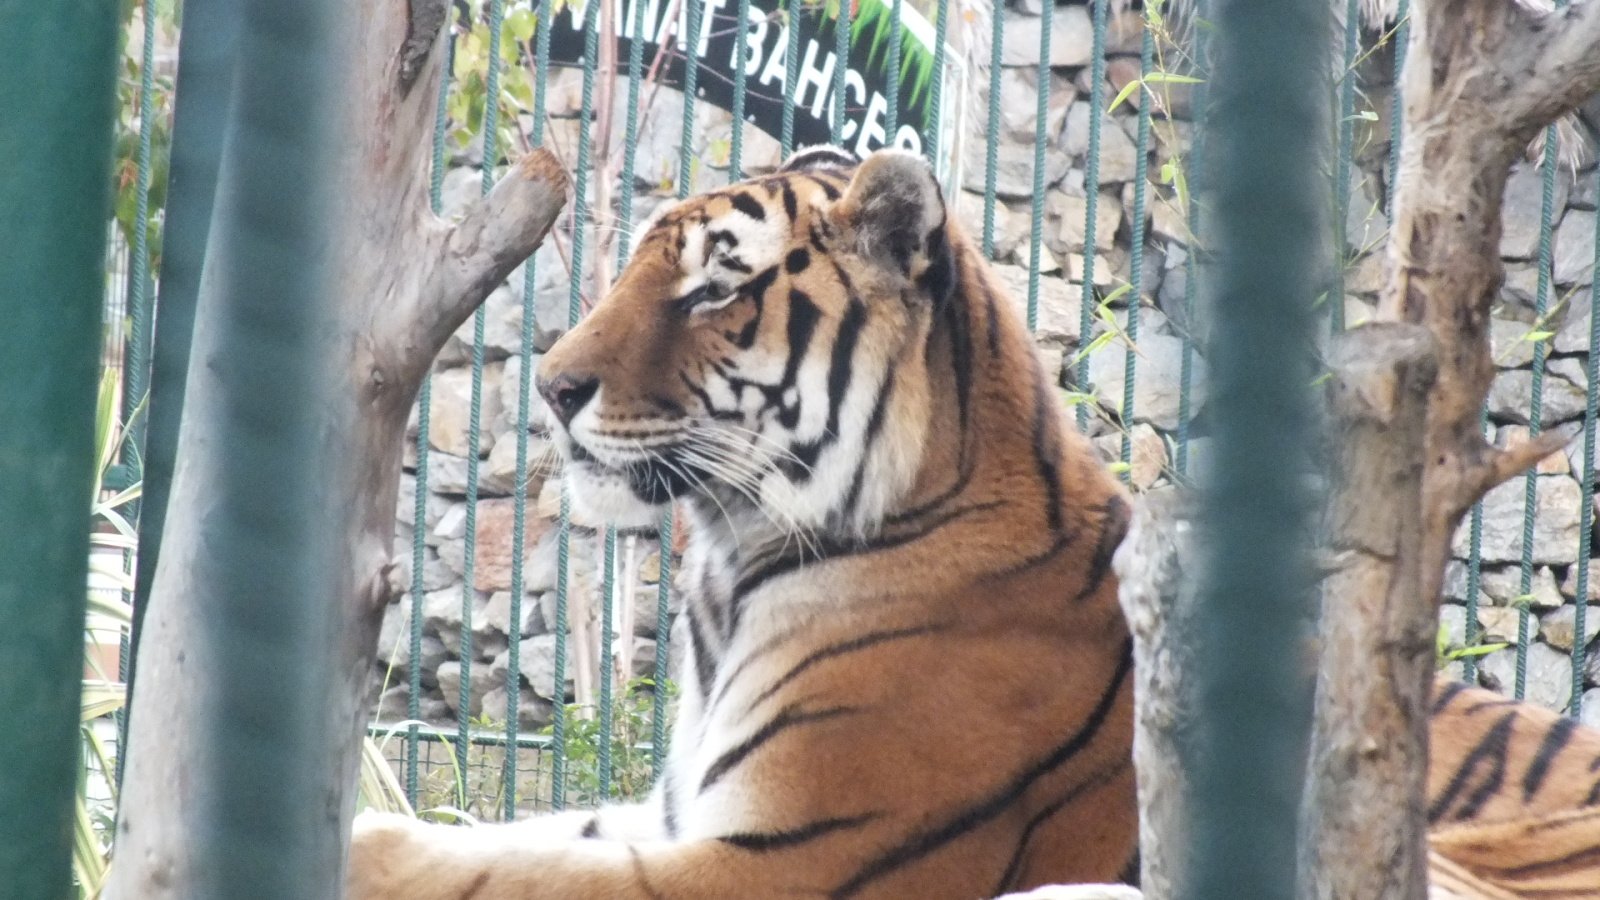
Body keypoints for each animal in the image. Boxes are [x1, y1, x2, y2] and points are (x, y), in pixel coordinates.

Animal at [347, 143, 1600, 890]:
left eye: (715, 288)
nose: (553, 387)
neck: (733, 572)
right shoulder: (671, 814)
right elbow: (479, 839)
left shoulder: (776, 857)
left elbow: (481, 872)